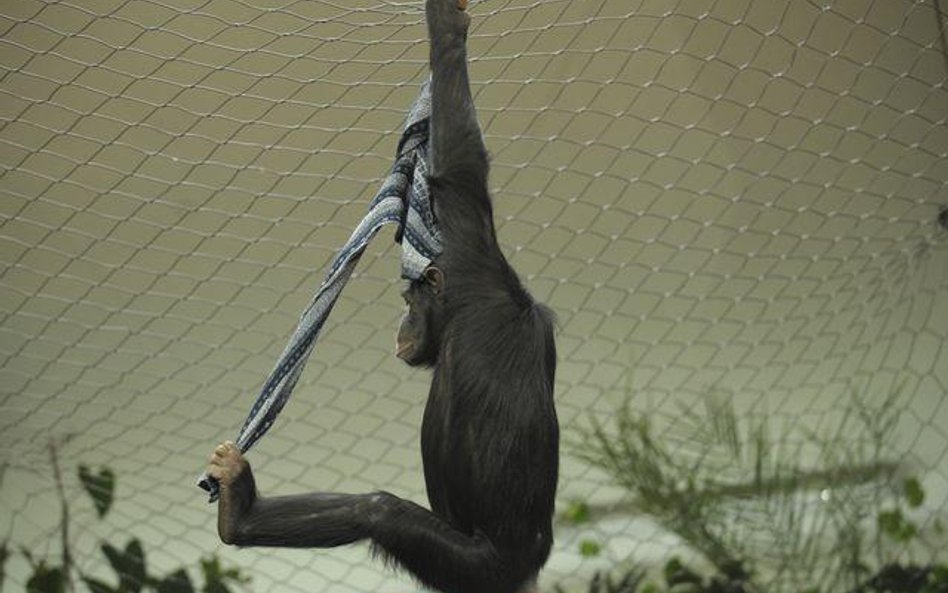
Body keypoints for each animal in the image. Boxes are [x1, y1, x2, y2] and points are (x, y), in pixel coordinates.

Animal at [206, 1, 556, 592]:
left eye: (410, 302)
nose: (403, 323)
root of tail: (522, 567)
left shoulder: (467, 243)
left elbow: (456, 166)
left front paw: (446, 29)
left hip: (468, 565)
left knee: (376, 511)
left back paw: (240, 514)